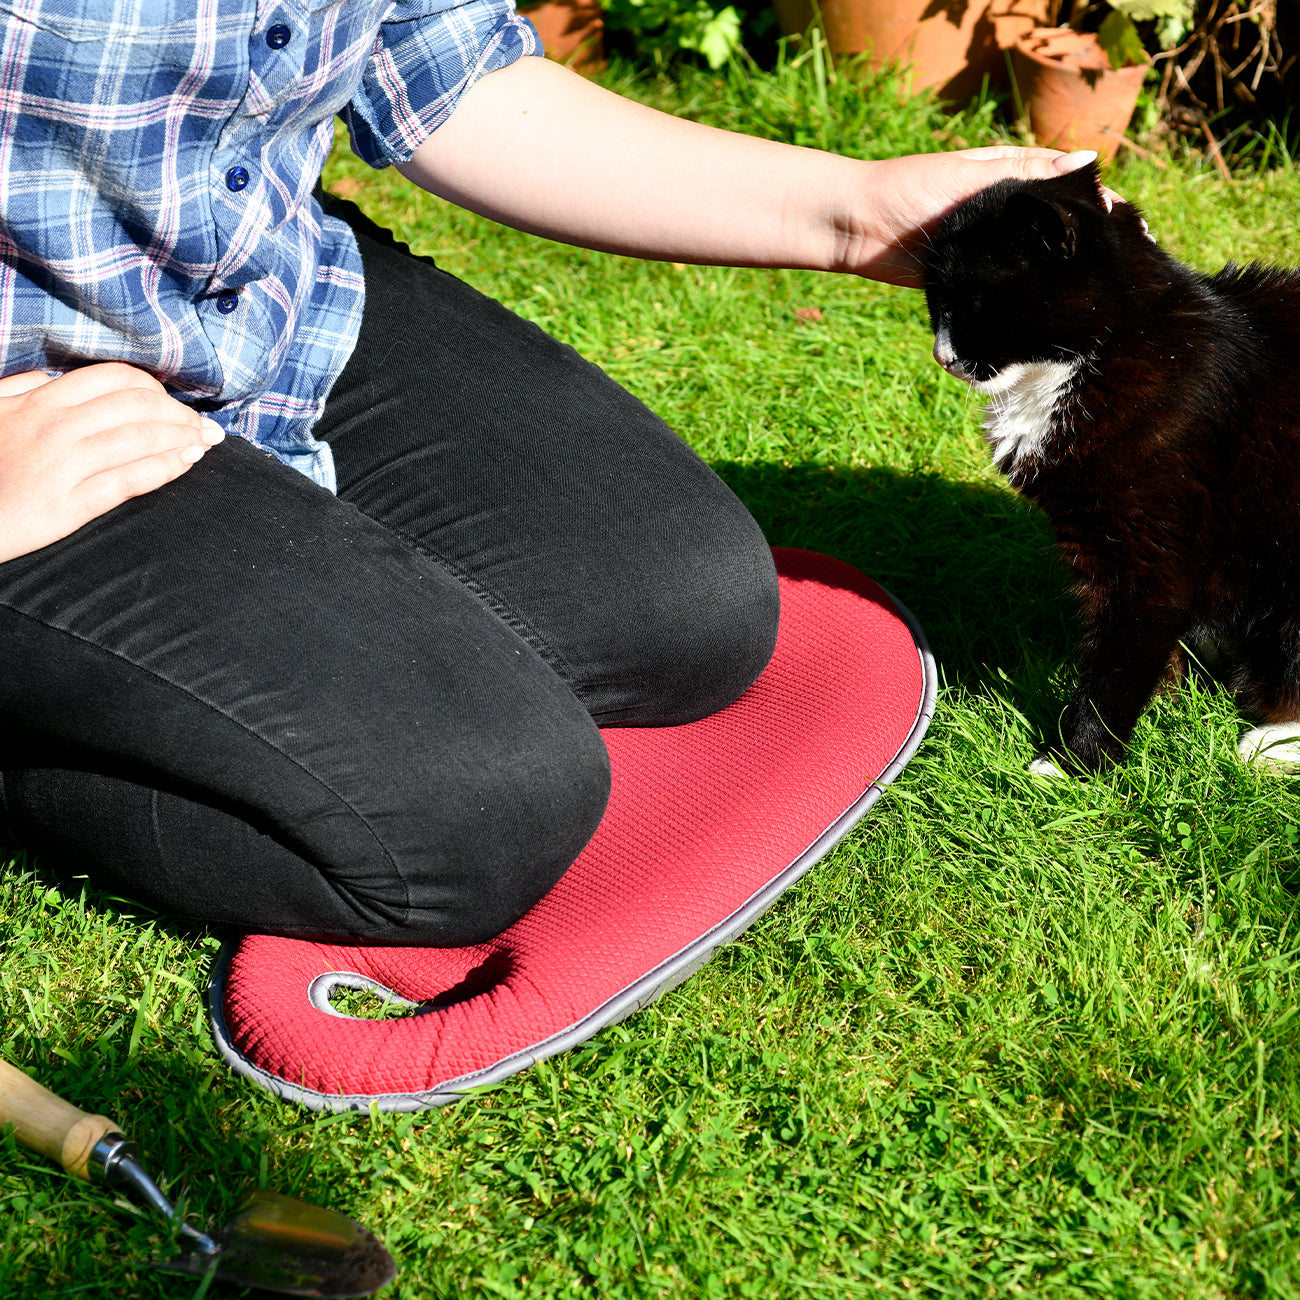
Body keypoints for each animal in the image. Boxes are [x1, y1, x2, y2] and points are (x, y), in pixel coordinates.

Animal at [920, 162, 1300, 769]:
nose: (943, 355)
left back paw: (1268, 744)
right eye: (934, 302)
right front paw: (1167, 702)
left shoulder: (1146, 555)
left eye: (973, 302)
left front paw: (1073, 762)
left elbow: (1118, 660)